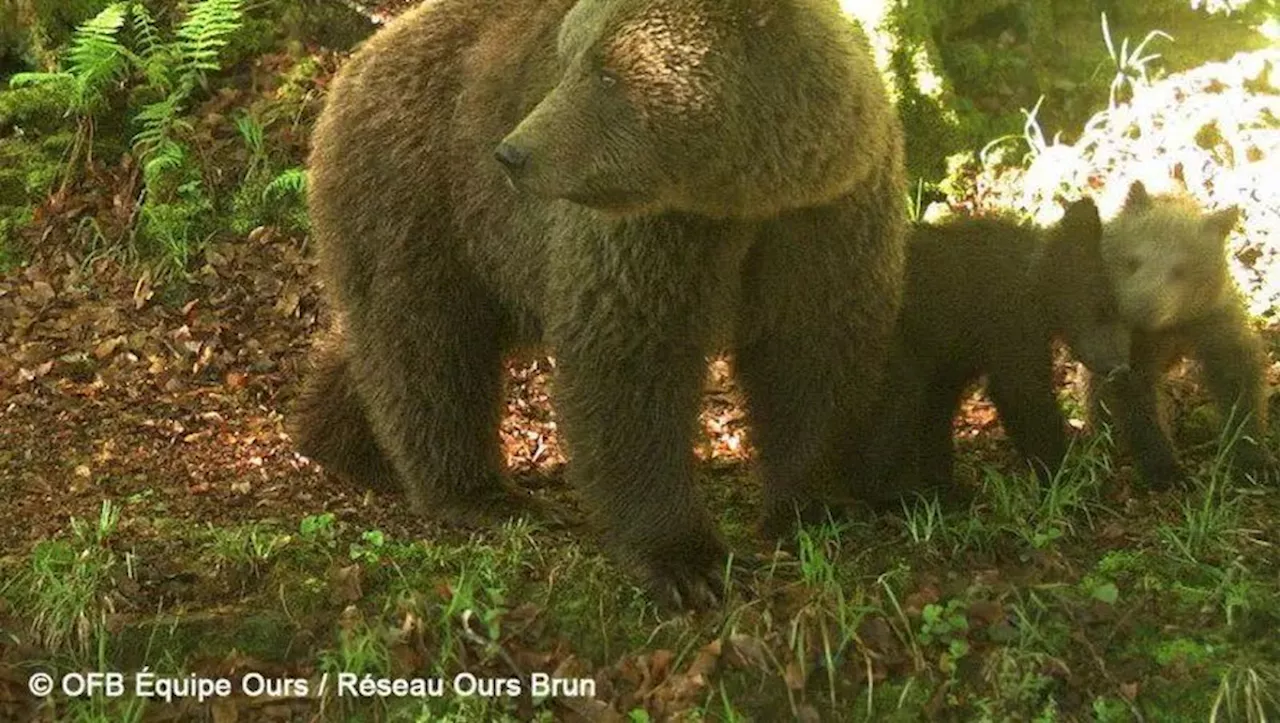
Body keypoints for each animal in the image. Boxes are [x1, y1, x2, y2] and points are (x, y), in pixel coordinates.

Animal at [293, 0, 911, 609]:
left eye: (606, 74)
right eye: (568, 58)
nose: (512, 153)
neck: (741, 198)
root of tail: (361, 60)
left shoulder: (824, 216)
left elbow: (813, 355)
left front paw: (816, 504)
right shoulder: (648, 234)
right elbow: (629, 367)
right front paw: (689, 563)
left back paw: (343, 443)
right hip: (423, 197)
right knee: (428, 346)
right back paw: (481, 493)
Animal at [860, 197, 1131, 501]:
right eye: (1103, 307)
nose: (1121, 366)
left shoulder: (954, 356)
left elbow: (937, 411)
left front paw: (945, 485)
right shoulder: (1008, 324)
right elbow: (1022, 393)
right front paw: (1064, 479)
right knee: (899, 398)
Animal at [1085, 180, 1274, 488]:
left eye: (1181, 270)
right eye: (1132, 261)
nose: (1139, 310)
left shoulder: (1212, 322)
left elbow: (1238, 379)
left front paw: (1253, 461)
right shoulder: (1132, 344)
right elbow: (1136, 398)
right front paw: (1166, 471)